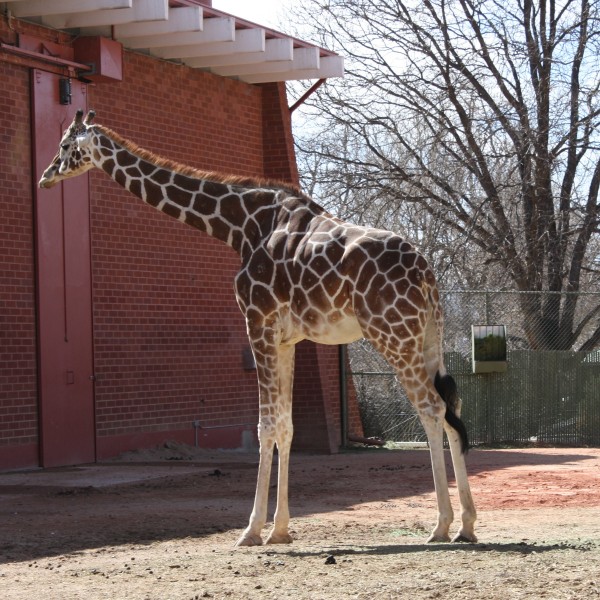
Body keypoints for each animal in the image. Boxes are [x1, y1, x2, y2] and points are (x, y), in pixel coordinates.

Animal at [38, 110, 478, 548]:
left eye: (65, 144)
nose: (45, 177)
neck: (240, 225)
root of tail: (426, 273)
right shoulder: (286, 339)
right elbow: (286, 426)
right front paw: (279, 529)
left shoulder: (257, 322)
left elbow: (266, 425)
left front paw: (251, 530)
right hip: (427, 337)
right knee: (452, 404)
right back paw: (466, 525)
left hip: (393, 334)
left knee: (431, 408)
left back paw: (440, 524)